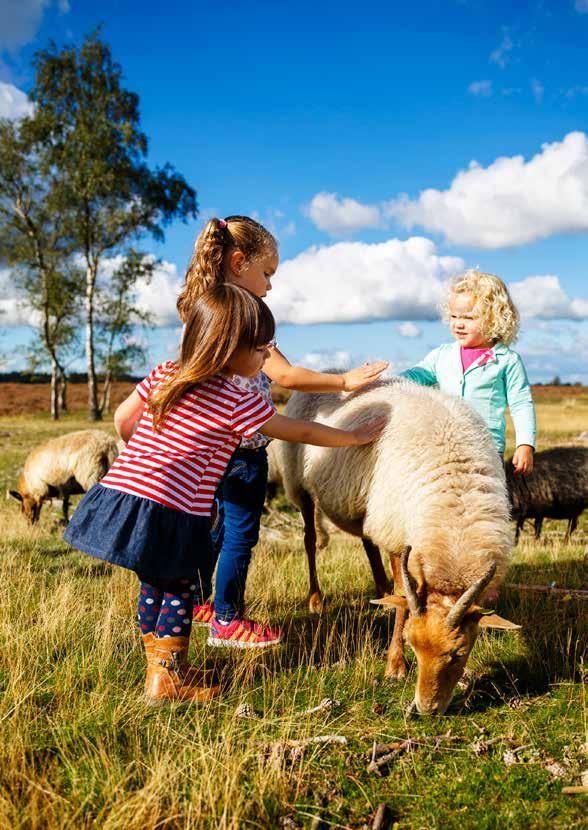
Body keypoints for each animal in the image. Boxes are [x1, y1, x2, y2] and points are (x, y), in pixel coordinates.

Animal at [268, 382, 516, 716]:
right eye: (412, 644)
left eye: (459, 652)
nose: (426, 709)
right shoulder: (399, 533)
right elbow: (403, 596)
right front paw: (395, 665)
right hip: (300, 485)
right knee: (309, 540)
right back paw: (316, 599)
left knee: (367, 541)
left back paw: (380, 589)